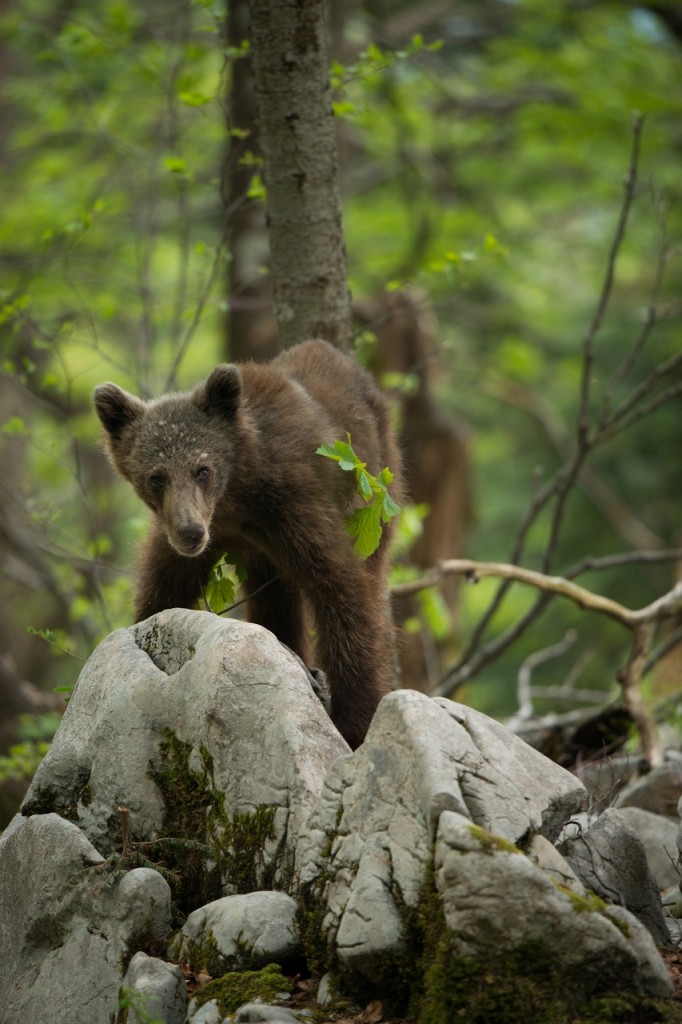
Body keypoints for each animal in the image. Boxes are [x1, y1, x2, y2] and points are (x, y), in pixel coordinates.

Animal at [93, 339, 402, 749]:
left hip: (377, 488)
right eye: (156, 477)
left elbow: (343, 590)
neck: (237, 497)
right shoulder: (193, 537)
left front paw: (355, 722)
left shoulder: (295, 505)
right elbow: (161, 592)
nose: (191, 532)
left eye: (202, 469)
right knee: (274, 600)